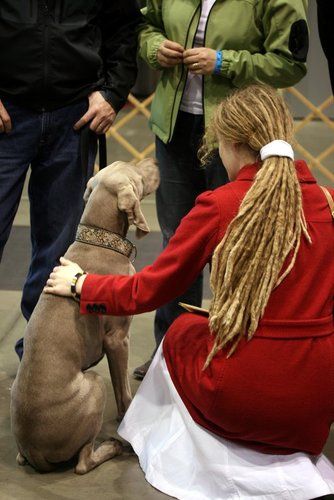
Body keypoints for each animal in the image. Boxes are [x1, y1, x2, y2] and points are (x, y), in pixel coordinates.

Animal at [11, 159, 160, 472]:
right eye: (139, 175)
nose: (154, 161)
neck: (99, 240)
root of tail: (34, 450)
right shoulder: (118, 339)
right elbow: (123, 392)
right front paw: (126, 424)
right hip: (93, 384)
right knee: (83, 462)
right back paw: (112, 447)